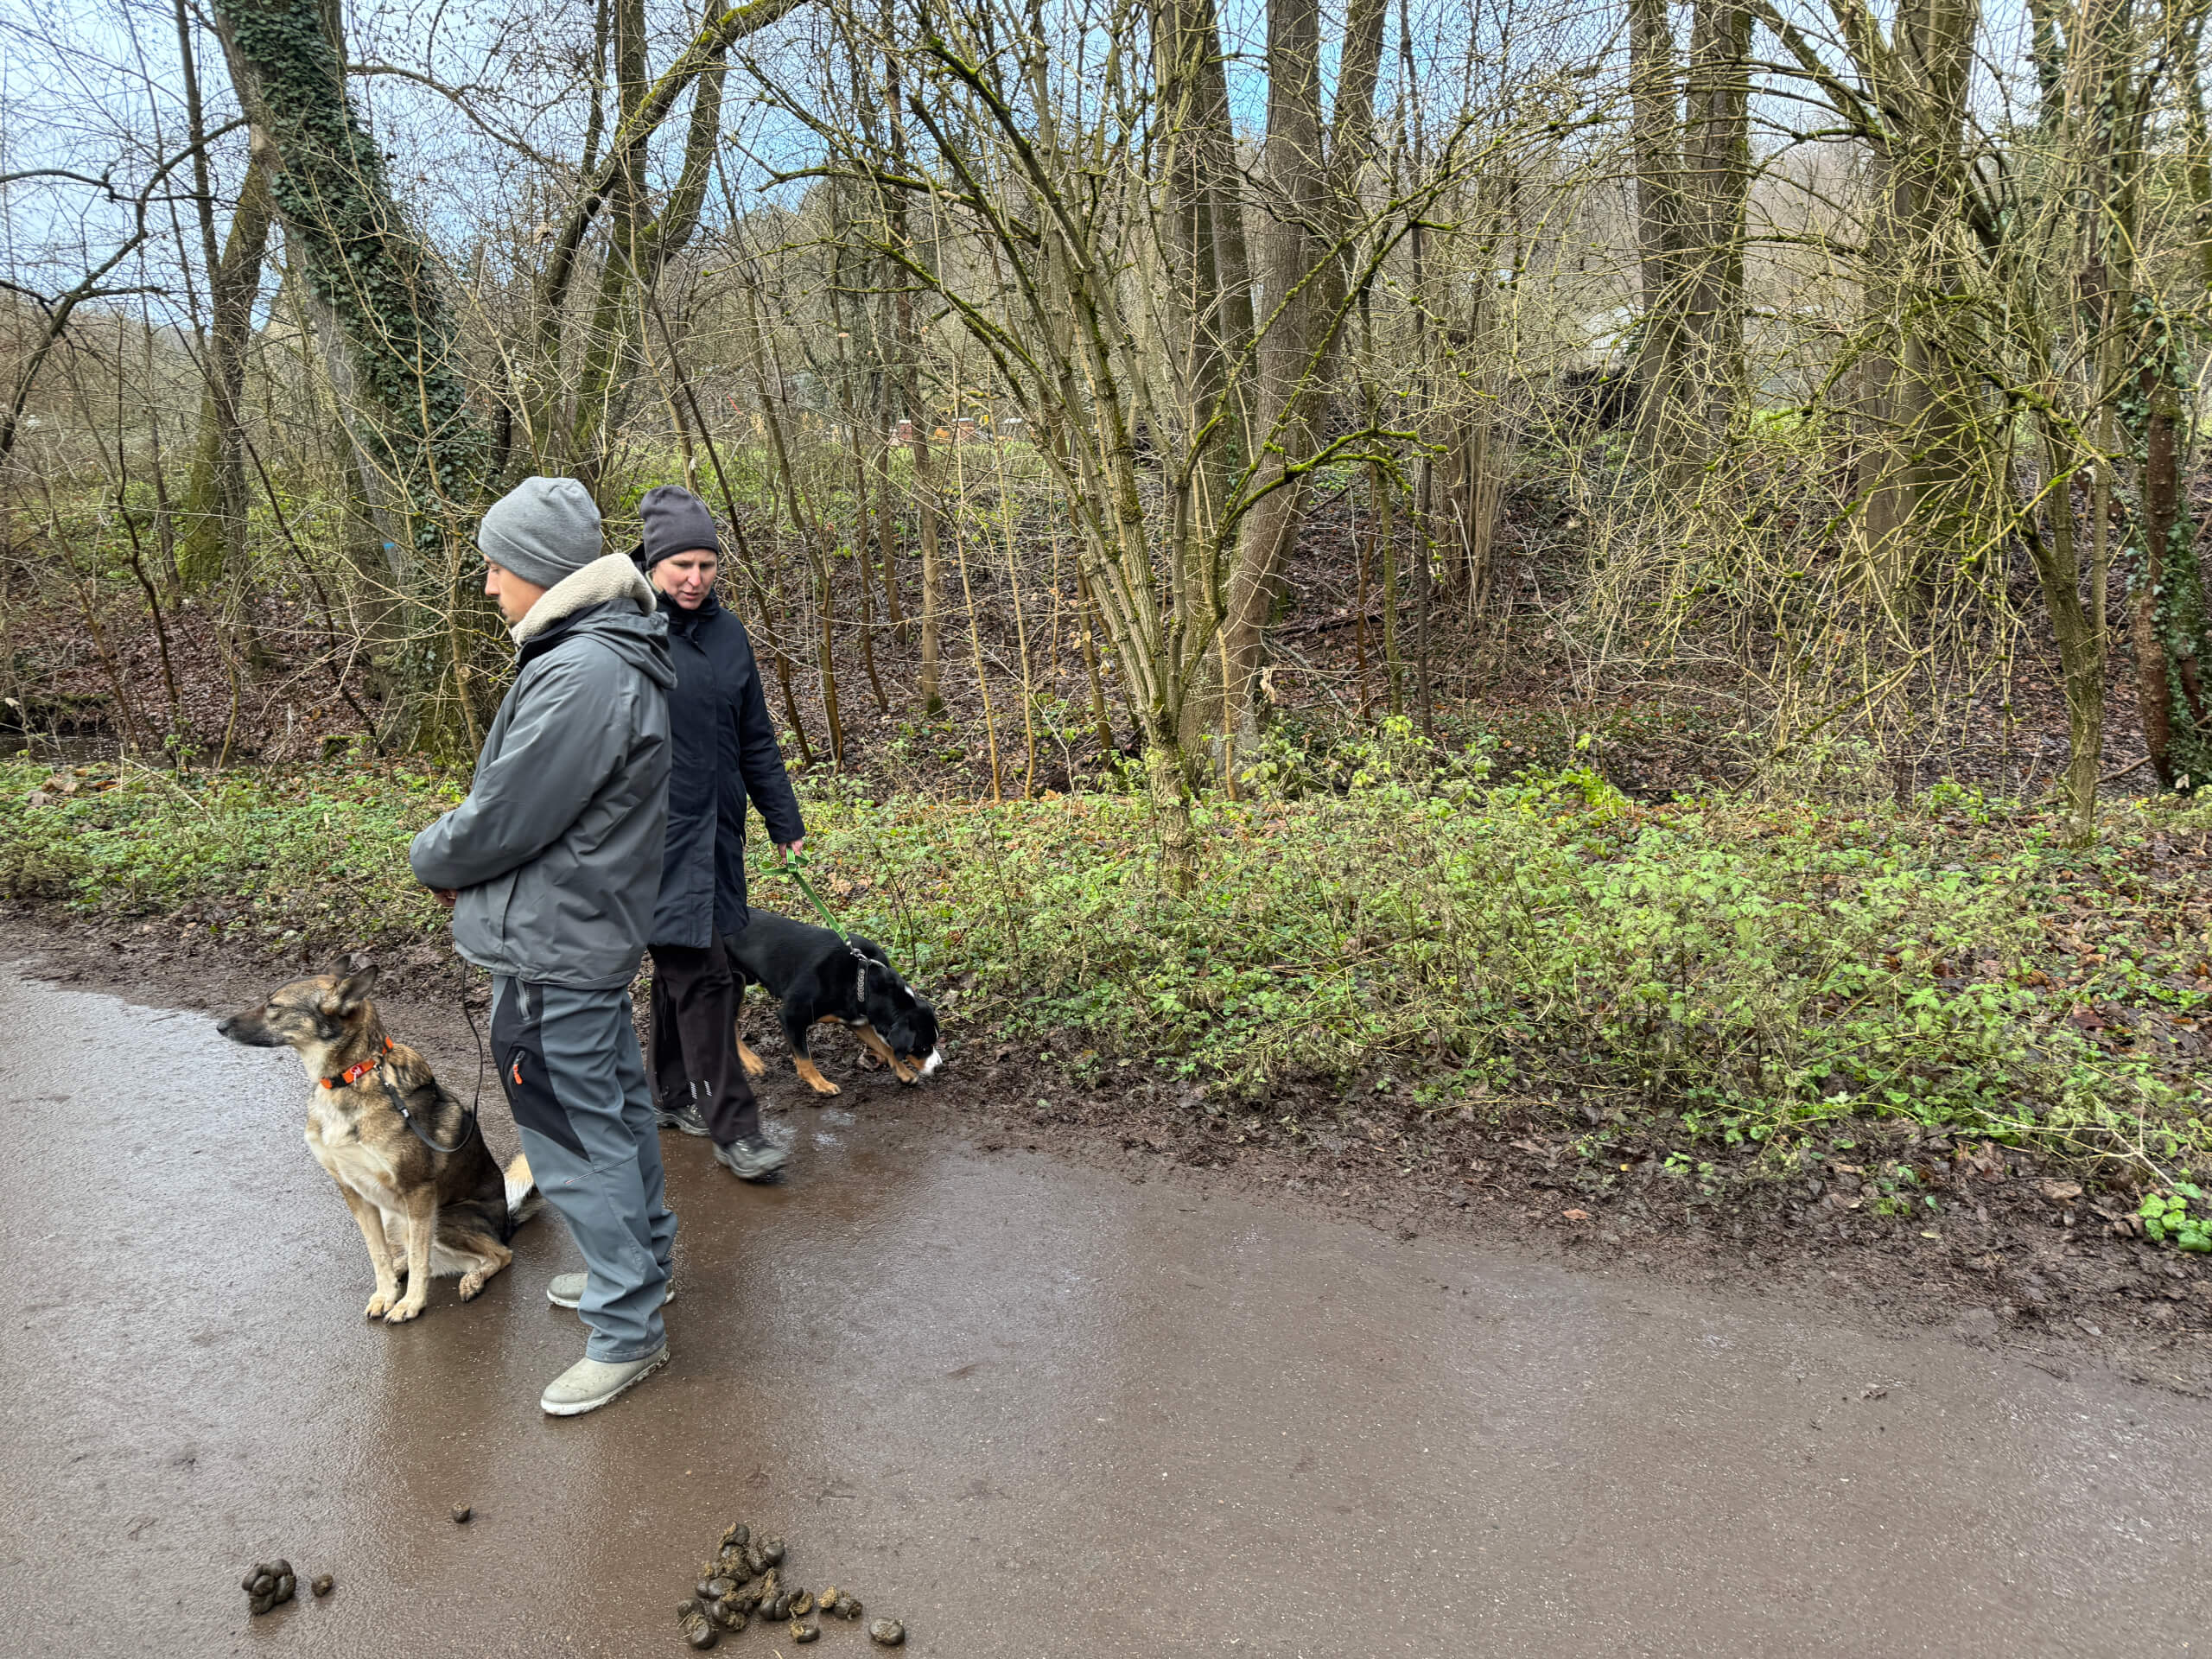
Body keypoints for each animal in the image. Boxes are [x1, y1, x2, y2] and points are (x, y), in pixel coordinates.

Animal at [217, 964, 539, 1324]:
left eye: (274, 1006)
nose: (220, 1026)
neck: (352, 1076)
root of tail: (508, 1221)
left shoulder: (418, 1191)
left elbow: (418, 1258)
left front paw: (411, 1303)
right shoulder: (353, 1190)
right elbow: (378, 1253)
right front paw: (387, 1294)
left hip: (442, 1218)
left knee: (498, 1254)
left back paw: (472, 1279)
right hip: (397, 1217)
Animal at [724, 908, 942, 1096]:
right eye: (923, 1047)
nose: (939, 1067)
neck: (861, 978)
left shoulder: (857, 1020)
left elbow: (886, 1047)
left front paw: (904, 1074)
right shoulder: (791, 1017)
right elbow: (804, 1059)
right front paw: (821, 1084)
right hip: (732, 985)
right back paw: (751, 1062)